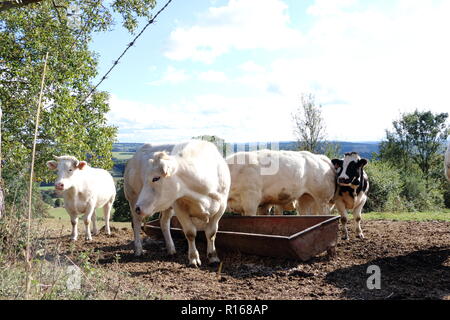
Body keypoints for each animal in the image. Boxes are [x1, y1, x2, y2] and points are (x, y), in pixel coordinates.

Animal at [130, 140, 230, 268]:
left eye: (156, 178)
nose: (139, 207)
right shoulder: (180, 207)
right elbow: (190, 233)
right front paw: (193, 258)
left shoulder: (221, 207)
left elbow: (211, 233)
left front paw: (213, 257)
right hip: (133, 197)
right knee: (137, 223)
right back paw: (138, 250)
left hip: (167, 207)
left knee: (164, 223)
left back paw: (171, 249)